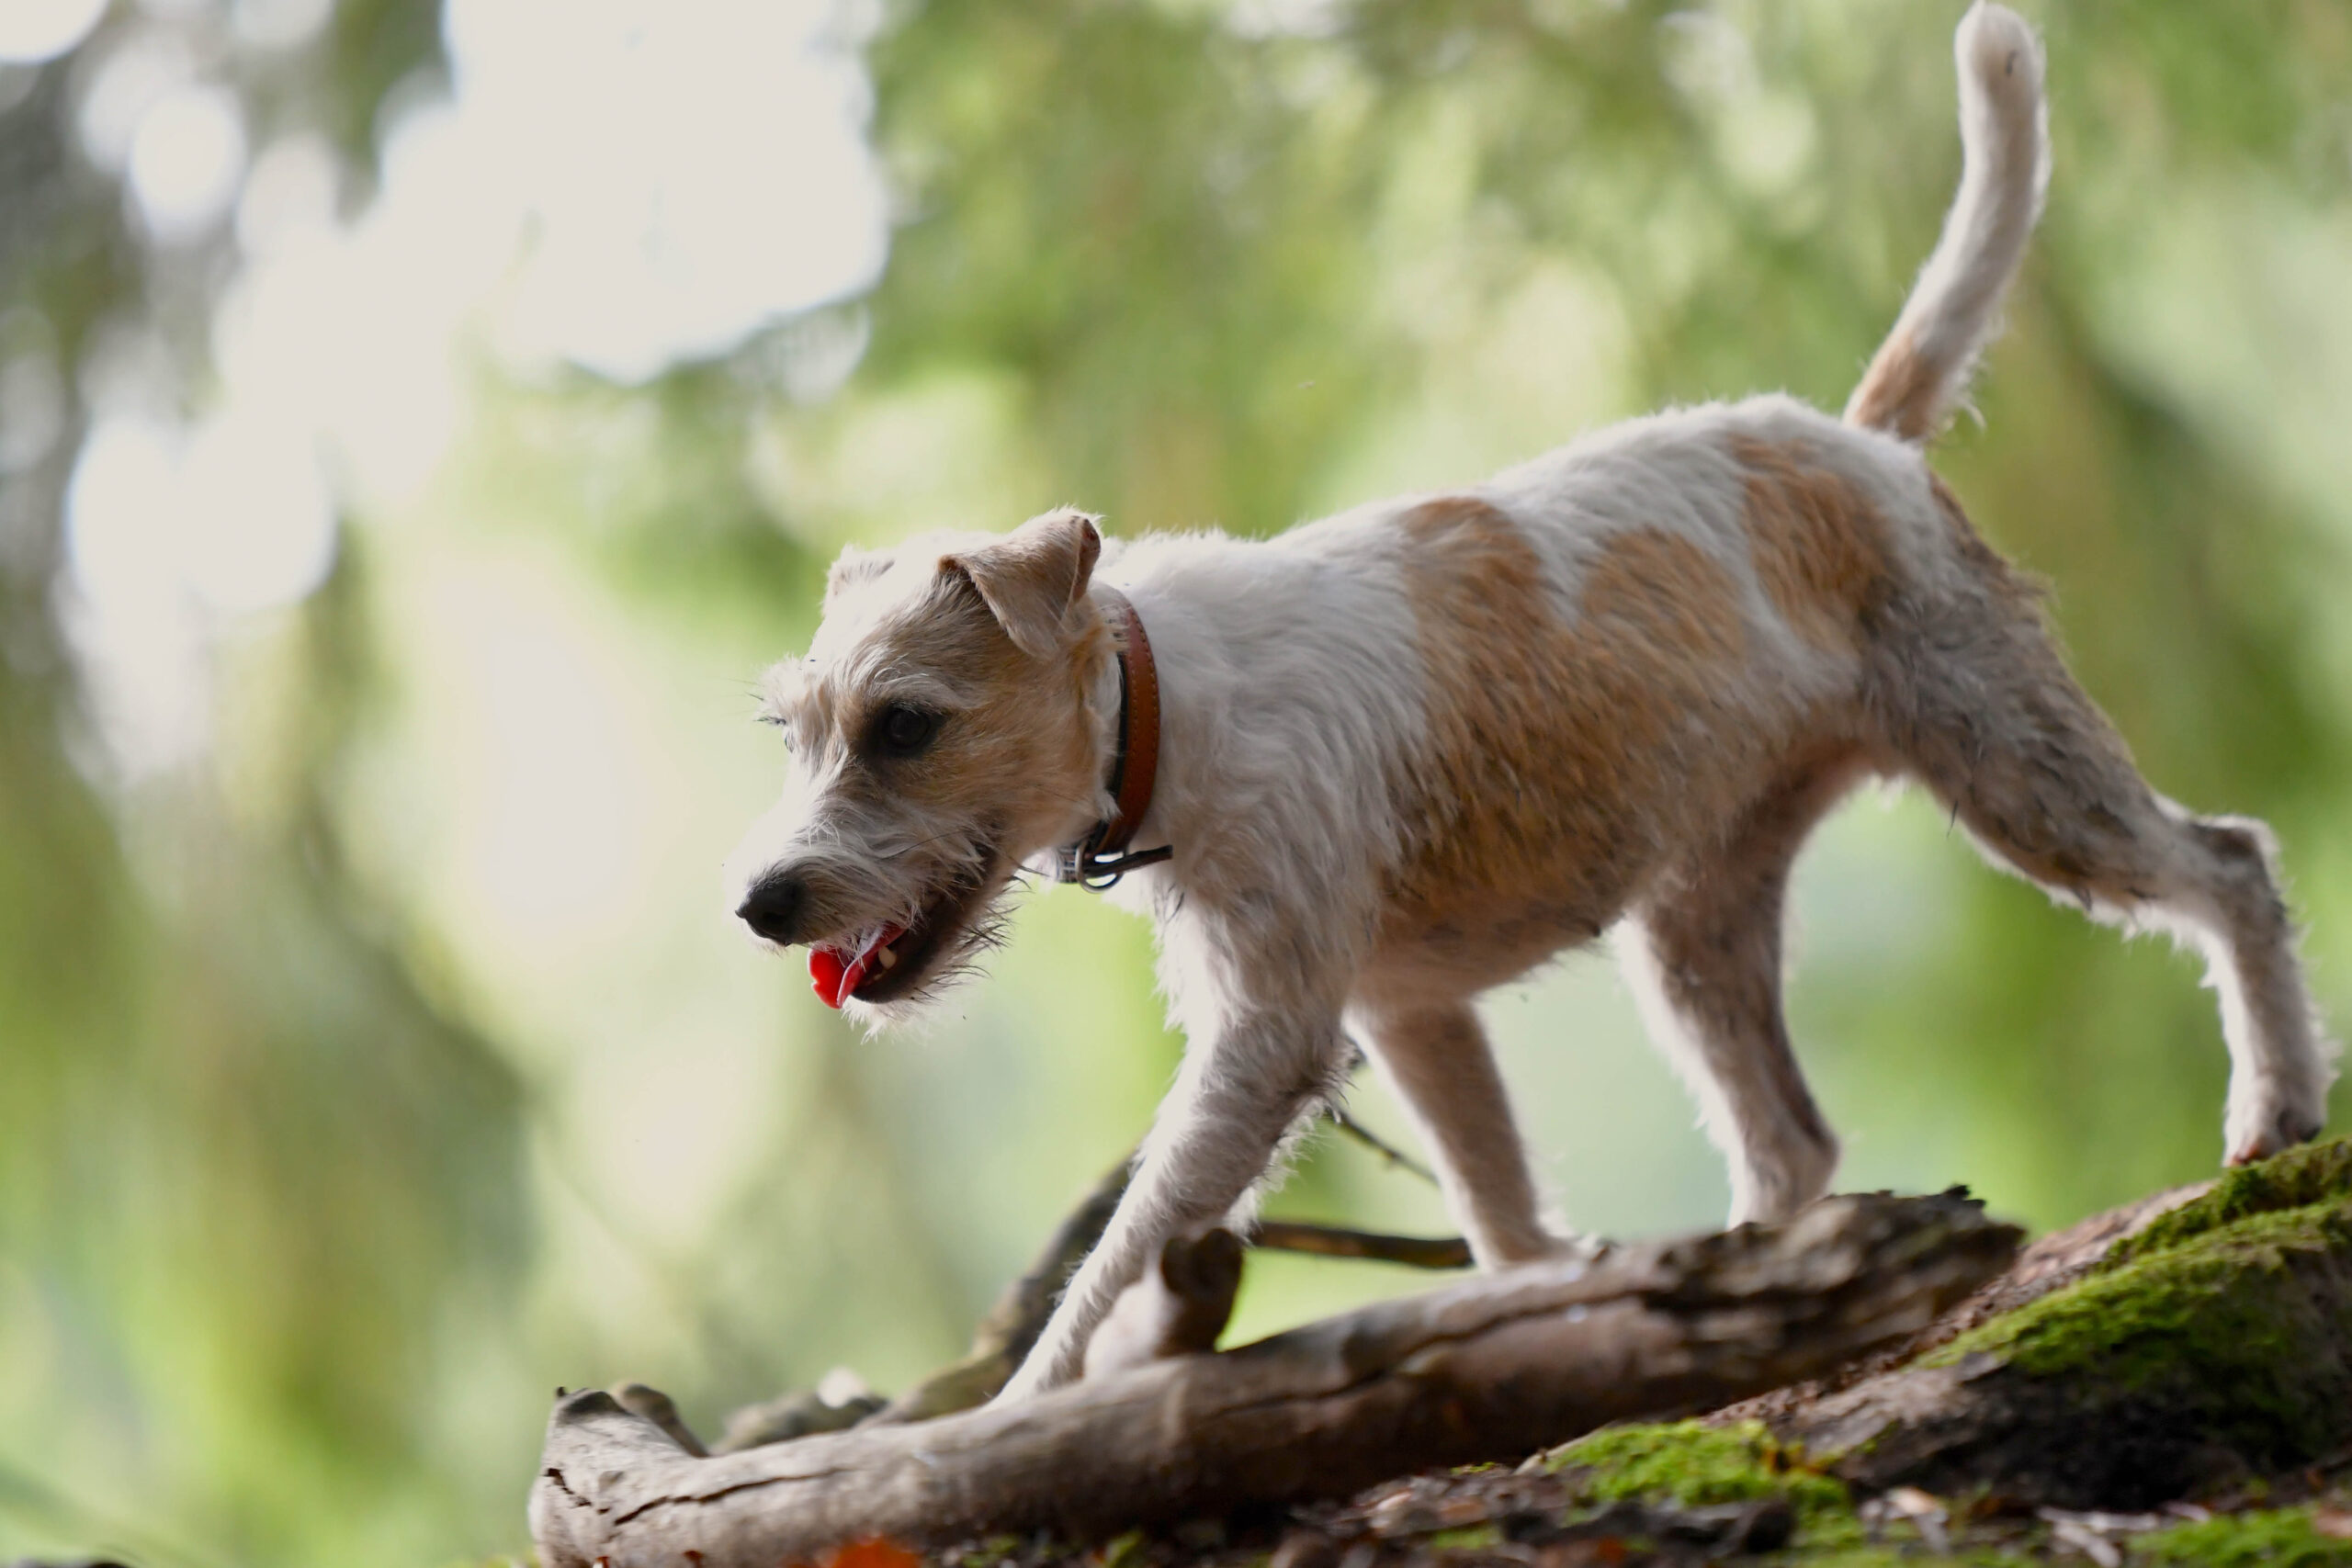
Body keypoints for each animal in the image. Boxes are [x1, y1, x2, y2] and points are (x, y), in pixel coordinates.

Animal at [729, 0, 2333, 1401]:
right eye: (795, 730)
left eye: (906, 723)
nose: (760, 903)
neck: (1160, 697)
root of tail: (1860, 438)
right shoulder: (1413, 1014)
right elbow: (1500, 1217)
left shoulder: (1267, 1040)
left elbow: (1114, 1264)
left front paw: (1013, 1426)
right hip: (1697, 924)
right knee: (1793, 1138)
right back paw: (1752, 1305)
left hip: (2019, 767)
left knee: (2232, 866)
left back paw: (2274, 1110)